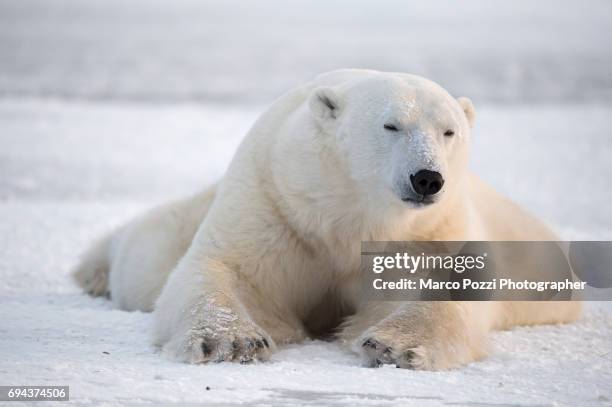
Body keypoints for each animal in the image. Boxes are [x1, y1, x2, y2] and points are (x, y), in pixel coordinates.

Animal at [74, 69, 580, 370]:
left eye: (449, 131)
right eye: (391, 125)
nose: (427, 178)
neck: (349, 215)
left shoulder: (429, 233)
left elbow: (449, 287)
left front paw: (391, 345)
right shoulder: (276, 202)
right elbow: (227, 269)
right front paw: (231, 342)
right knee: (145, 258)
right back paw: (92, 269)